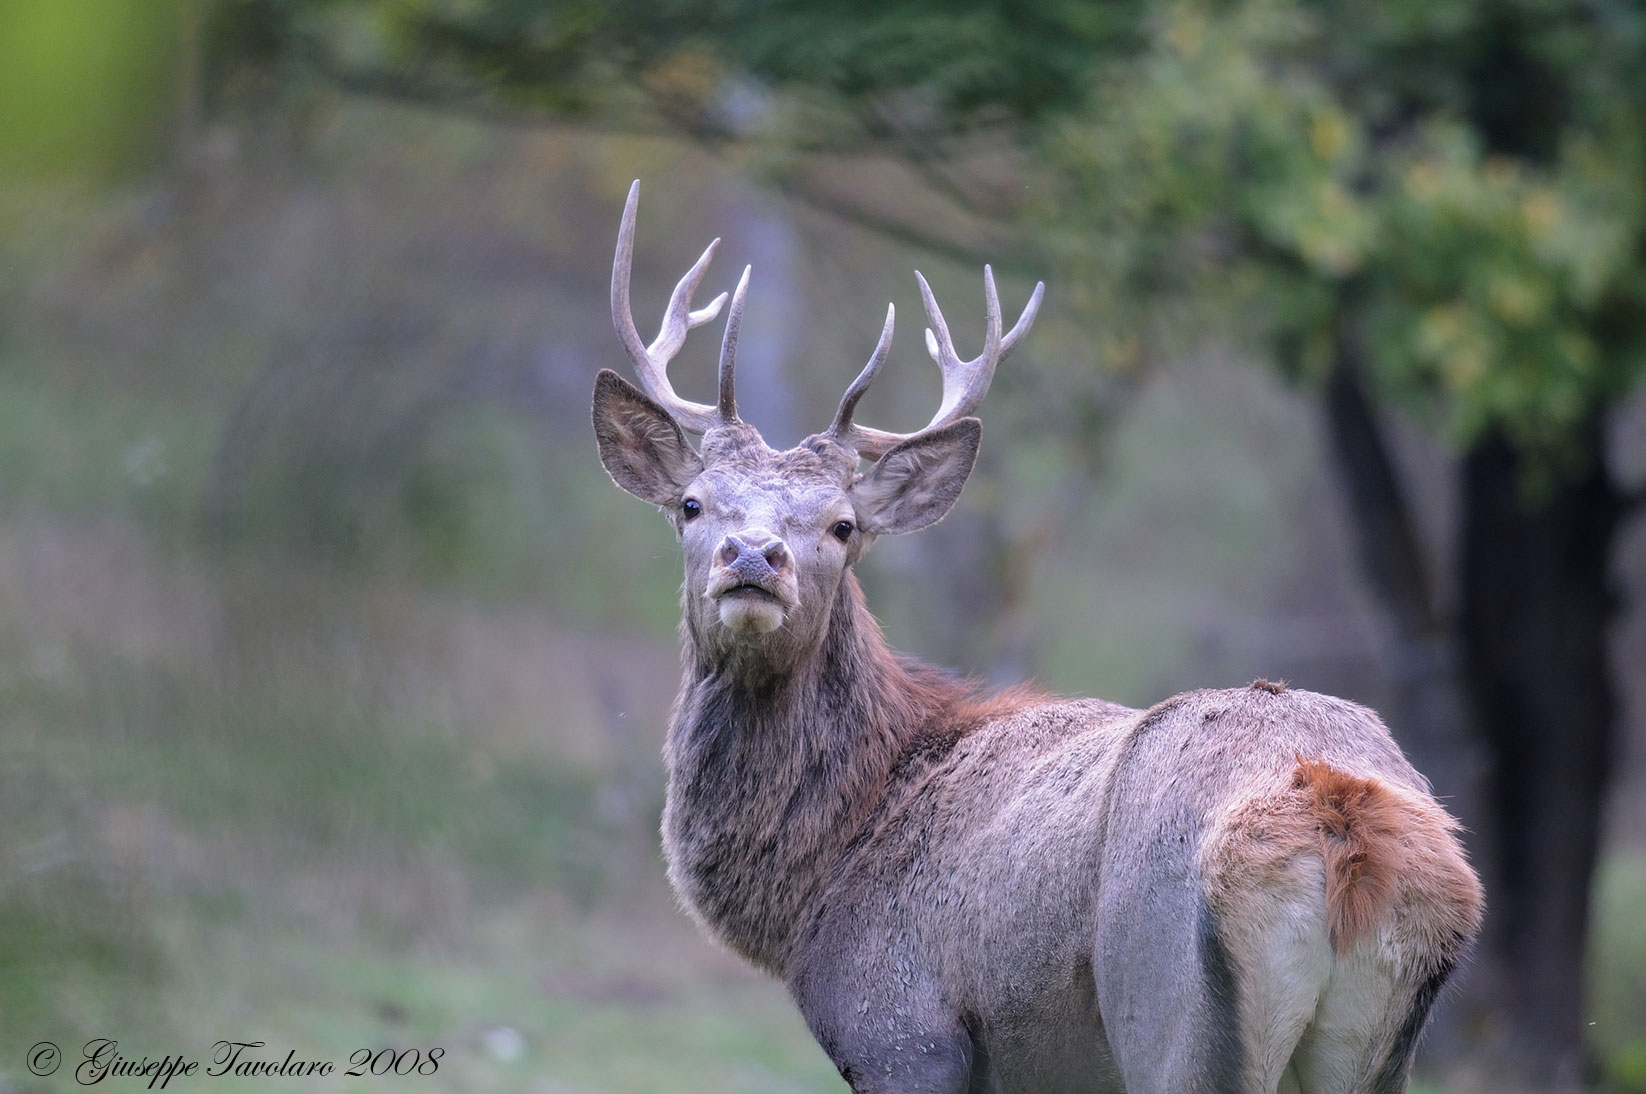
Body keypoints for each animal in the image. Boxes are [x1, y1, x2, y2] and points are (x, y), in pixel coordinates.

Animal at [589, 183, 1481, 1092]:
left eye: (842, 525)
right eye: (692, 504)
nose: (753, 557)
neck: (823, 875)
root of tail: (1339, 817)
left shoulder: (901, 1032)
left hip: (1169, 1012)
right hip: (1377, 1043)